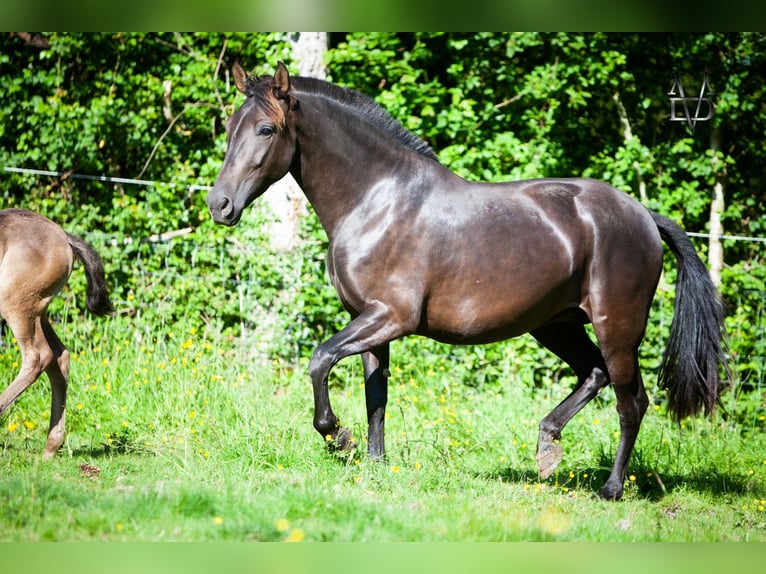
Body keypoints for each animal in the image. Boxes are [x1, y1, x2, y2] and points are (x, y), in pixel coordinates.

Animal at [0, 209, 113, 462]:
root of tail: (63, 237)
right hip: (38, 310)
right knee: (60, 356)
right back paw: (51, 446)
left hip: (16, 301)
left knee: (38, 356)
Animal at [207, 63, 728, 502]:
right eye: (231, 128)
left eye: (266, 129)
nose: (220, 204)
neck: (377, 200)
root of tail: (642, 215)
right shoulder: (369, 321)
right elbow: (376, 395)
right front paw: (374, 464)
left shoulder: (390, 317)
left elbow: (320, 361)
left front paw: (338, 437)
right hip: (555, 324)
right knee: (594, 374)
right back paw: (547, 449)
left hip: (616, 328)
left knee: (631, 401)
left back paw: (611, 488)